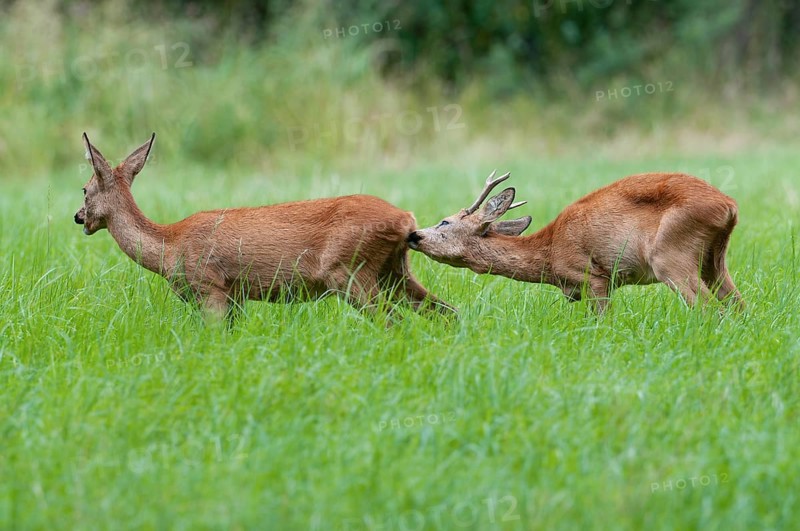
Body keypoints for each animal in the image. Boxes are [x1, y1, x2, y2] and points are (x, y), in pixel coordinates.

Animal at [74, 132, 454, 324]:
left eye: (84, 189)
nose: (79, 217)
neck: (169, 245)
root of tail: (407, 218)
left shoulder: (210, 286)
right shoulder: (235, 295)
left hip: (349, 270)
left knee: (393, 321)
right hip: (394, 271)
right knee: (447, 312)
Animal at [407, 170, 745, 313]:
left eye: (445, 222)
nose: (414, 235)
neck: (549, 253)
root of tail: (729, 205)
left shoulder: (592, 275)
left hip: (670, 254)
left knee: (707, 308)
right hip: (714, 259)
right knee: (738, 304)